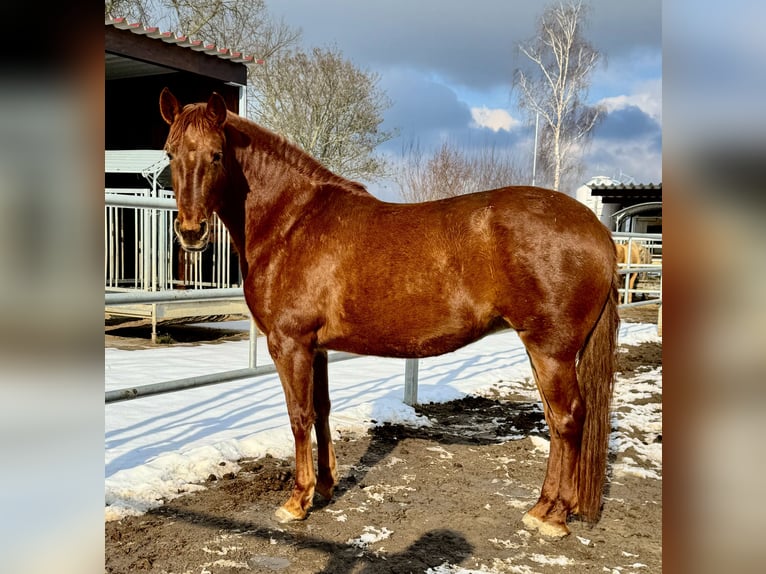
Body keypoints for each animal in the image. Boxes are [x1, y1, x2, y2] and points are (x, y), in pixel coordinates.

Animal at [159, 90, 620, 540]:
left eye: (217, 154)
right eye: (170, 152)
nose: (191, 232)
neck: (292, 223)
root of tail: (597, 231)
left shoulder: (290, 344)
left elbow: (298, 416)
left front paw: (297, 501)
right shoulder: (317, 348)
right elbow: (322, 409)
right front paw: (325, 486)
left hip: (551, 350)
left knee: (567, 419)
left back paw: (550, 517)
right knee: (556, 421)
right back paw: (547, 506)